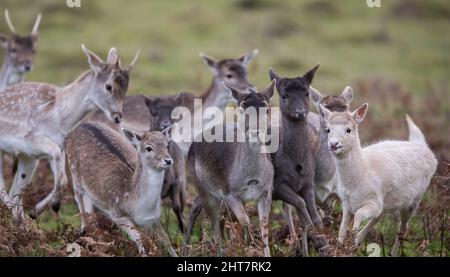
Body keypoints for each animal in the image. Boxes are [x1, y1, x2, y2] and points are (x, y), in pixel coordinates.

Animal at [0, 43, 139, 224]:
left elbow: (65, 179)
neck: (59, 118)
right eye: (108, 86)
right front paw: (53, 205)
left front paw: (37, 211)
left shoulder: (56, 148)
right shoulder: (31, 138)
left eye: (126, 88)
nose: (117, 116)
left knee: (15, 192)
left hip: (28, 160)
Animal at [65, 122, 178, 256]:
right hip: (74, 172)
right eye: (149, 148)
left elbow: (166, 240)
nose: (168, 160)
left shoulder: (155, 218)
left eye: (167, 145)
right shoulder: (117, 215)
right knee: (78, 197)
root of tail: (80, 124)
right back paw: (83, 229)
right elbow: (139, 239)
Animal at [185, 81, 276, 256]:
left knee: (199, 207)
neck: (252, 178)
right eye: (241, 109)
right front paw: (251, 246)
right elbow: (245, 219)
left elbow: (265, 227)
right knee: (213, 223)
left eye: (267, 109)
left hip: (210, 191)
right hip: (203, 187)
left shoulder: (266, 191)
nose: (254, 131)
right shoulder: (229, 192)